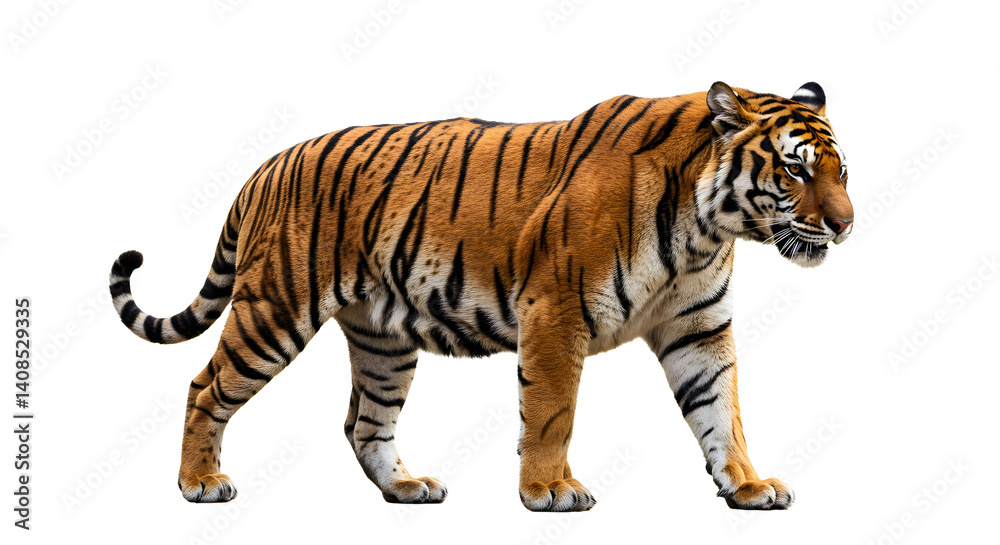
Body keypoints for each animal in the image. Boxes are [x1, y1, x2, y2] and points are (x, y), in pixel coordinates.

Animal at [109, 81, 852, 512]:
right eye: (795, 170)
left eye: (842, 171)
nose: (846, 223)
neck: (706, 226)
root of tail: (266, 165)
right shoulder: (556, 311)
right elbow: (551, 413)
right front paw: (549, 490)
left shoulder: (697, 327)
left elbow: (722, 411)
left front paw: (749, 485)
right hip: (276, 308)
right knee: (205, 386)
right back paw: (200, 483)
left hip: (382, 341)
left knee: (364, 422)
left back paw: (406, 488)